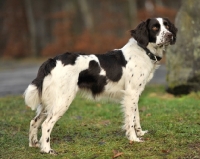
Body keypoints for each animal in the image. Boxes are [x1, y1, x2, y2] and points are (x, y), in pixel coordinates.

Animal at [24, 17, 177, 154]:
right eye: (155, 28)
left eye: (167, 26)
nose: (170, 35)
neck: (143, 51)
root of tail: (52, 60)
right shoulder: (131, 93)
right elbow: (131, 120)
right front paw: (134, 139)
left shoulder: (134, 93)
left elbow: (136, 116)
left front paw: (140, 134)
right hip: (63, 100)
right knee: (46, 124)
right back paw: (47, 149)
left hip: (48, 102)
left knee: (34, 121)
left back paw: (34, 144)